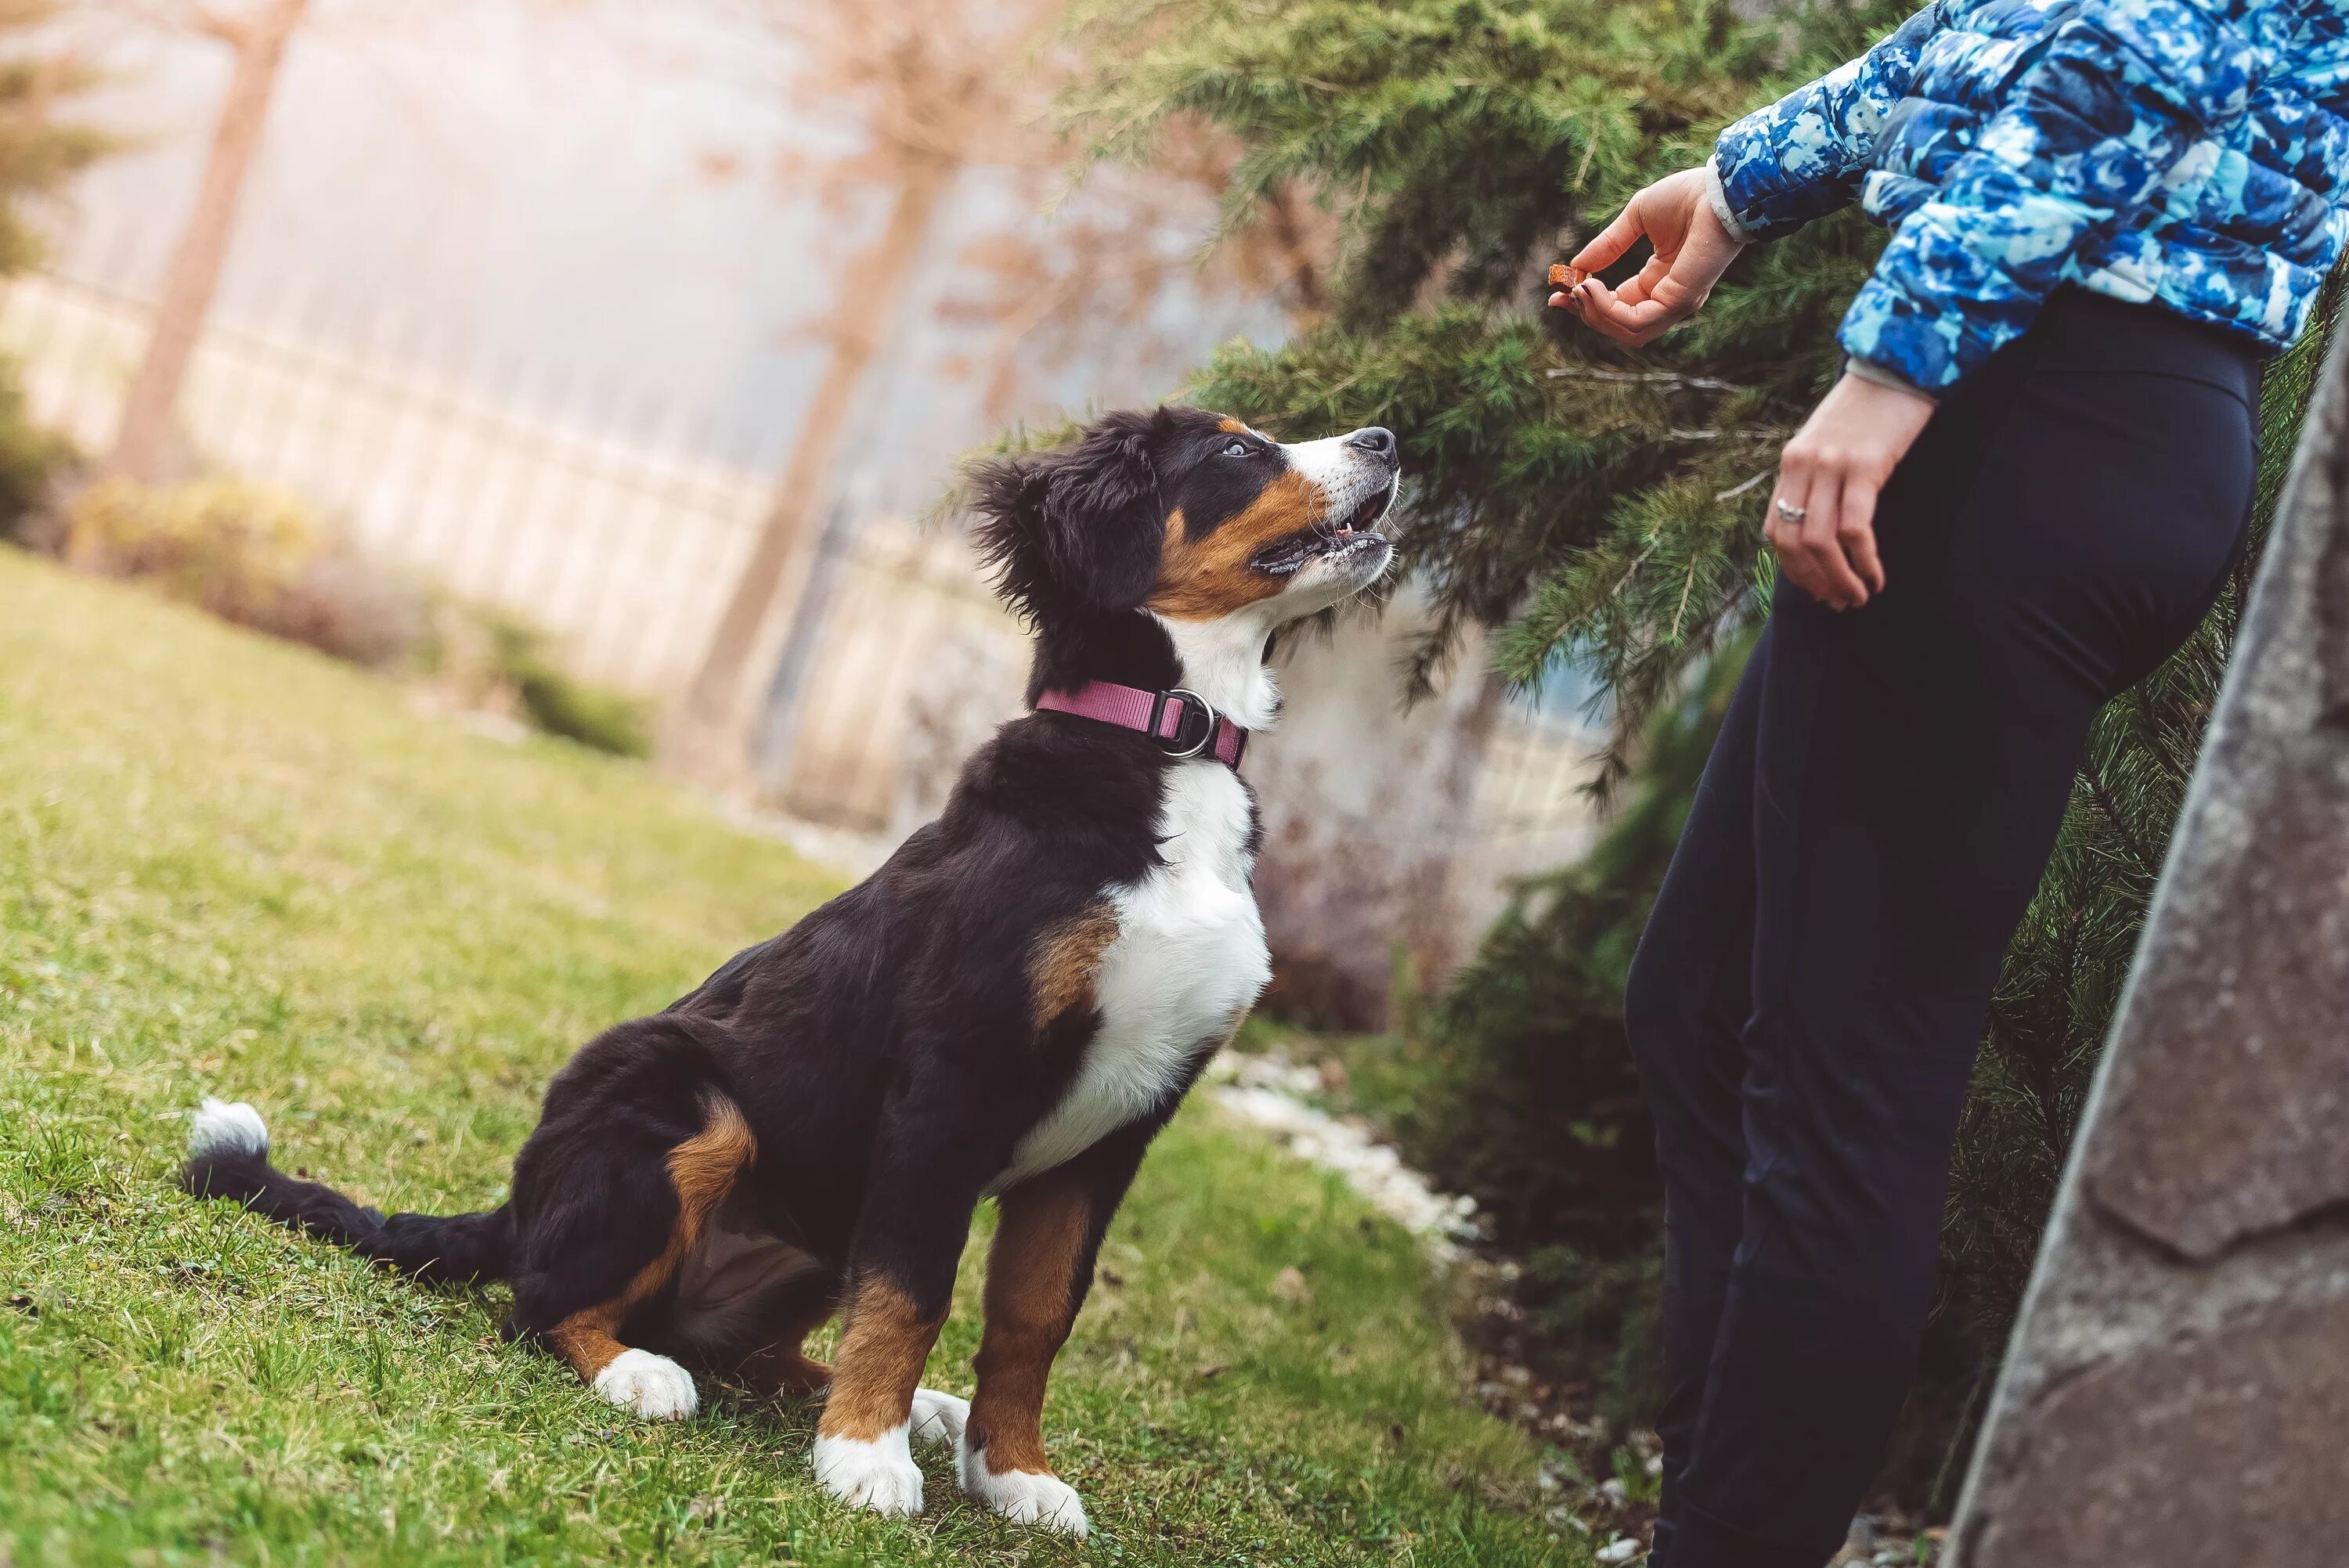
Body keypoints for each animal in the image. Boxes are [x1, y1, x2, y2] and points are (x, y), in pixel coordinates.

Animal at [183, 403, 1400, 1530]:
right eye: (1238, 451)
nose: (1389, 440)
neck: (1163, 749)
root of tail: (520, 1202)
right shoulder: (951, 1081)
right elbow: (913, 1291)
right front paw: (864, 1459)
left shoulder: (1123, 1122)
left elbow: (1032, 1314)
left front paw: (1013, 1472)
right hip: (689, 1106)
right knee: (542, 1302)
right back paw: (646, 1374)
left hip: (811, 1221)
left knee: (751, 1342)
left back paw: (915, 1410)